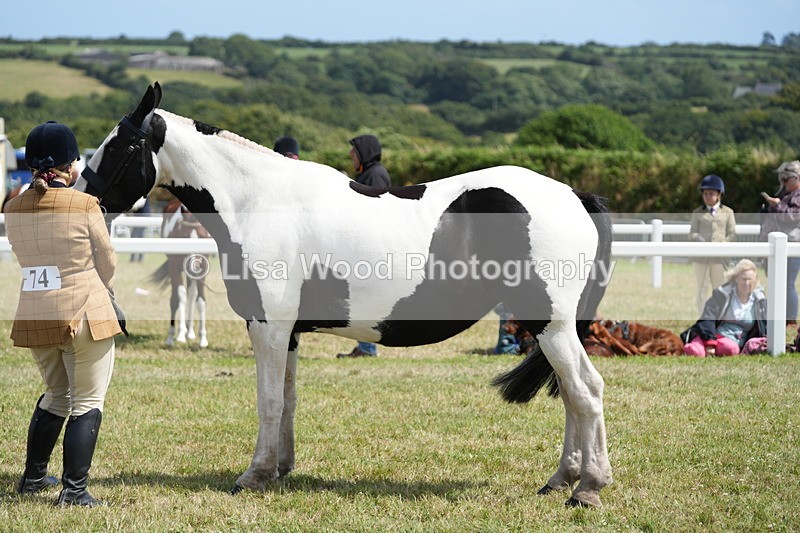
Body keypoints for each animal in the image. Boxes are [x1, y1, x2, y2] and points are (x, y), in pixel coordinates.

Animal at [150, 199, 211, 348]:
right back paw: (180, 332)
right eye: (184, 237)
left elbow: (200, 300)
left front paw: (203, 339)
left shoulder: (203, 270)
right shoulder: (175, 267)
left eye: (203, 237)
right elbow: (178, 298)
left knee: (192, 295)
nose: (195, 267)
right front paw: (175, 336)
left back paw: (190, 331)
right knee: (179, 296)